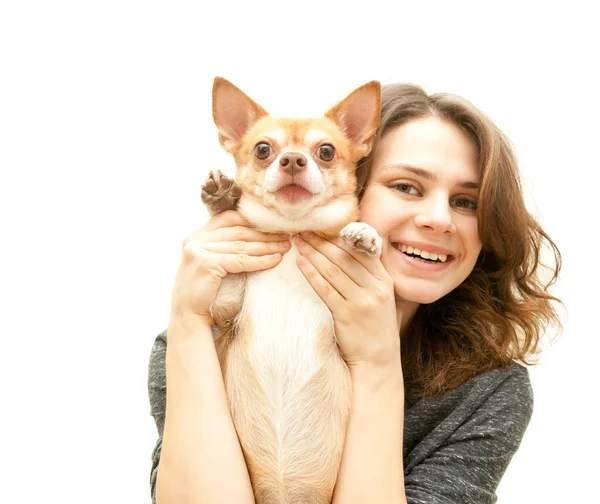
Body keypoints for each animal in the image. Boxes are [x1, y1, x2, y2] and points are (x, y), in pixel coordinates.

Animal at [205, 77, 384, 502]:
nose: (291, 160)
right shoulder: (225, 309)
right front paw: (221, 201)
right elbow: (228, 278)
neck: (291, 233)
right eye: (263, 149)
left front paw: (366, 234)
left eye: (326, 151)